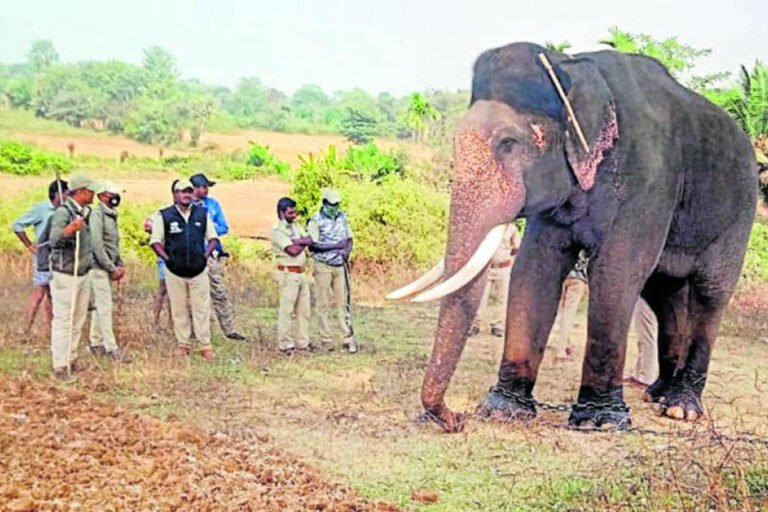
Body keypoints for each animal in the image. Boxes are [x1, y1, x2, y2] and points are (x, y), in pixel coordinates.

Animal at [388, 42, 758, 432]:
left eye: (508, 142)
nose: (455, 418)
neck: (574, 68)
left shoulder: (650, 180)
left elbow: (615, 272)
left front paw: (600, 421)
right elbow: (535, 267)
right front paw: (504, 410)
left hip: (739, 214)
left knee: (710, 293)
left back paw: (681, 408)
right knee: (663, 293)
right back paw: (657, 393)